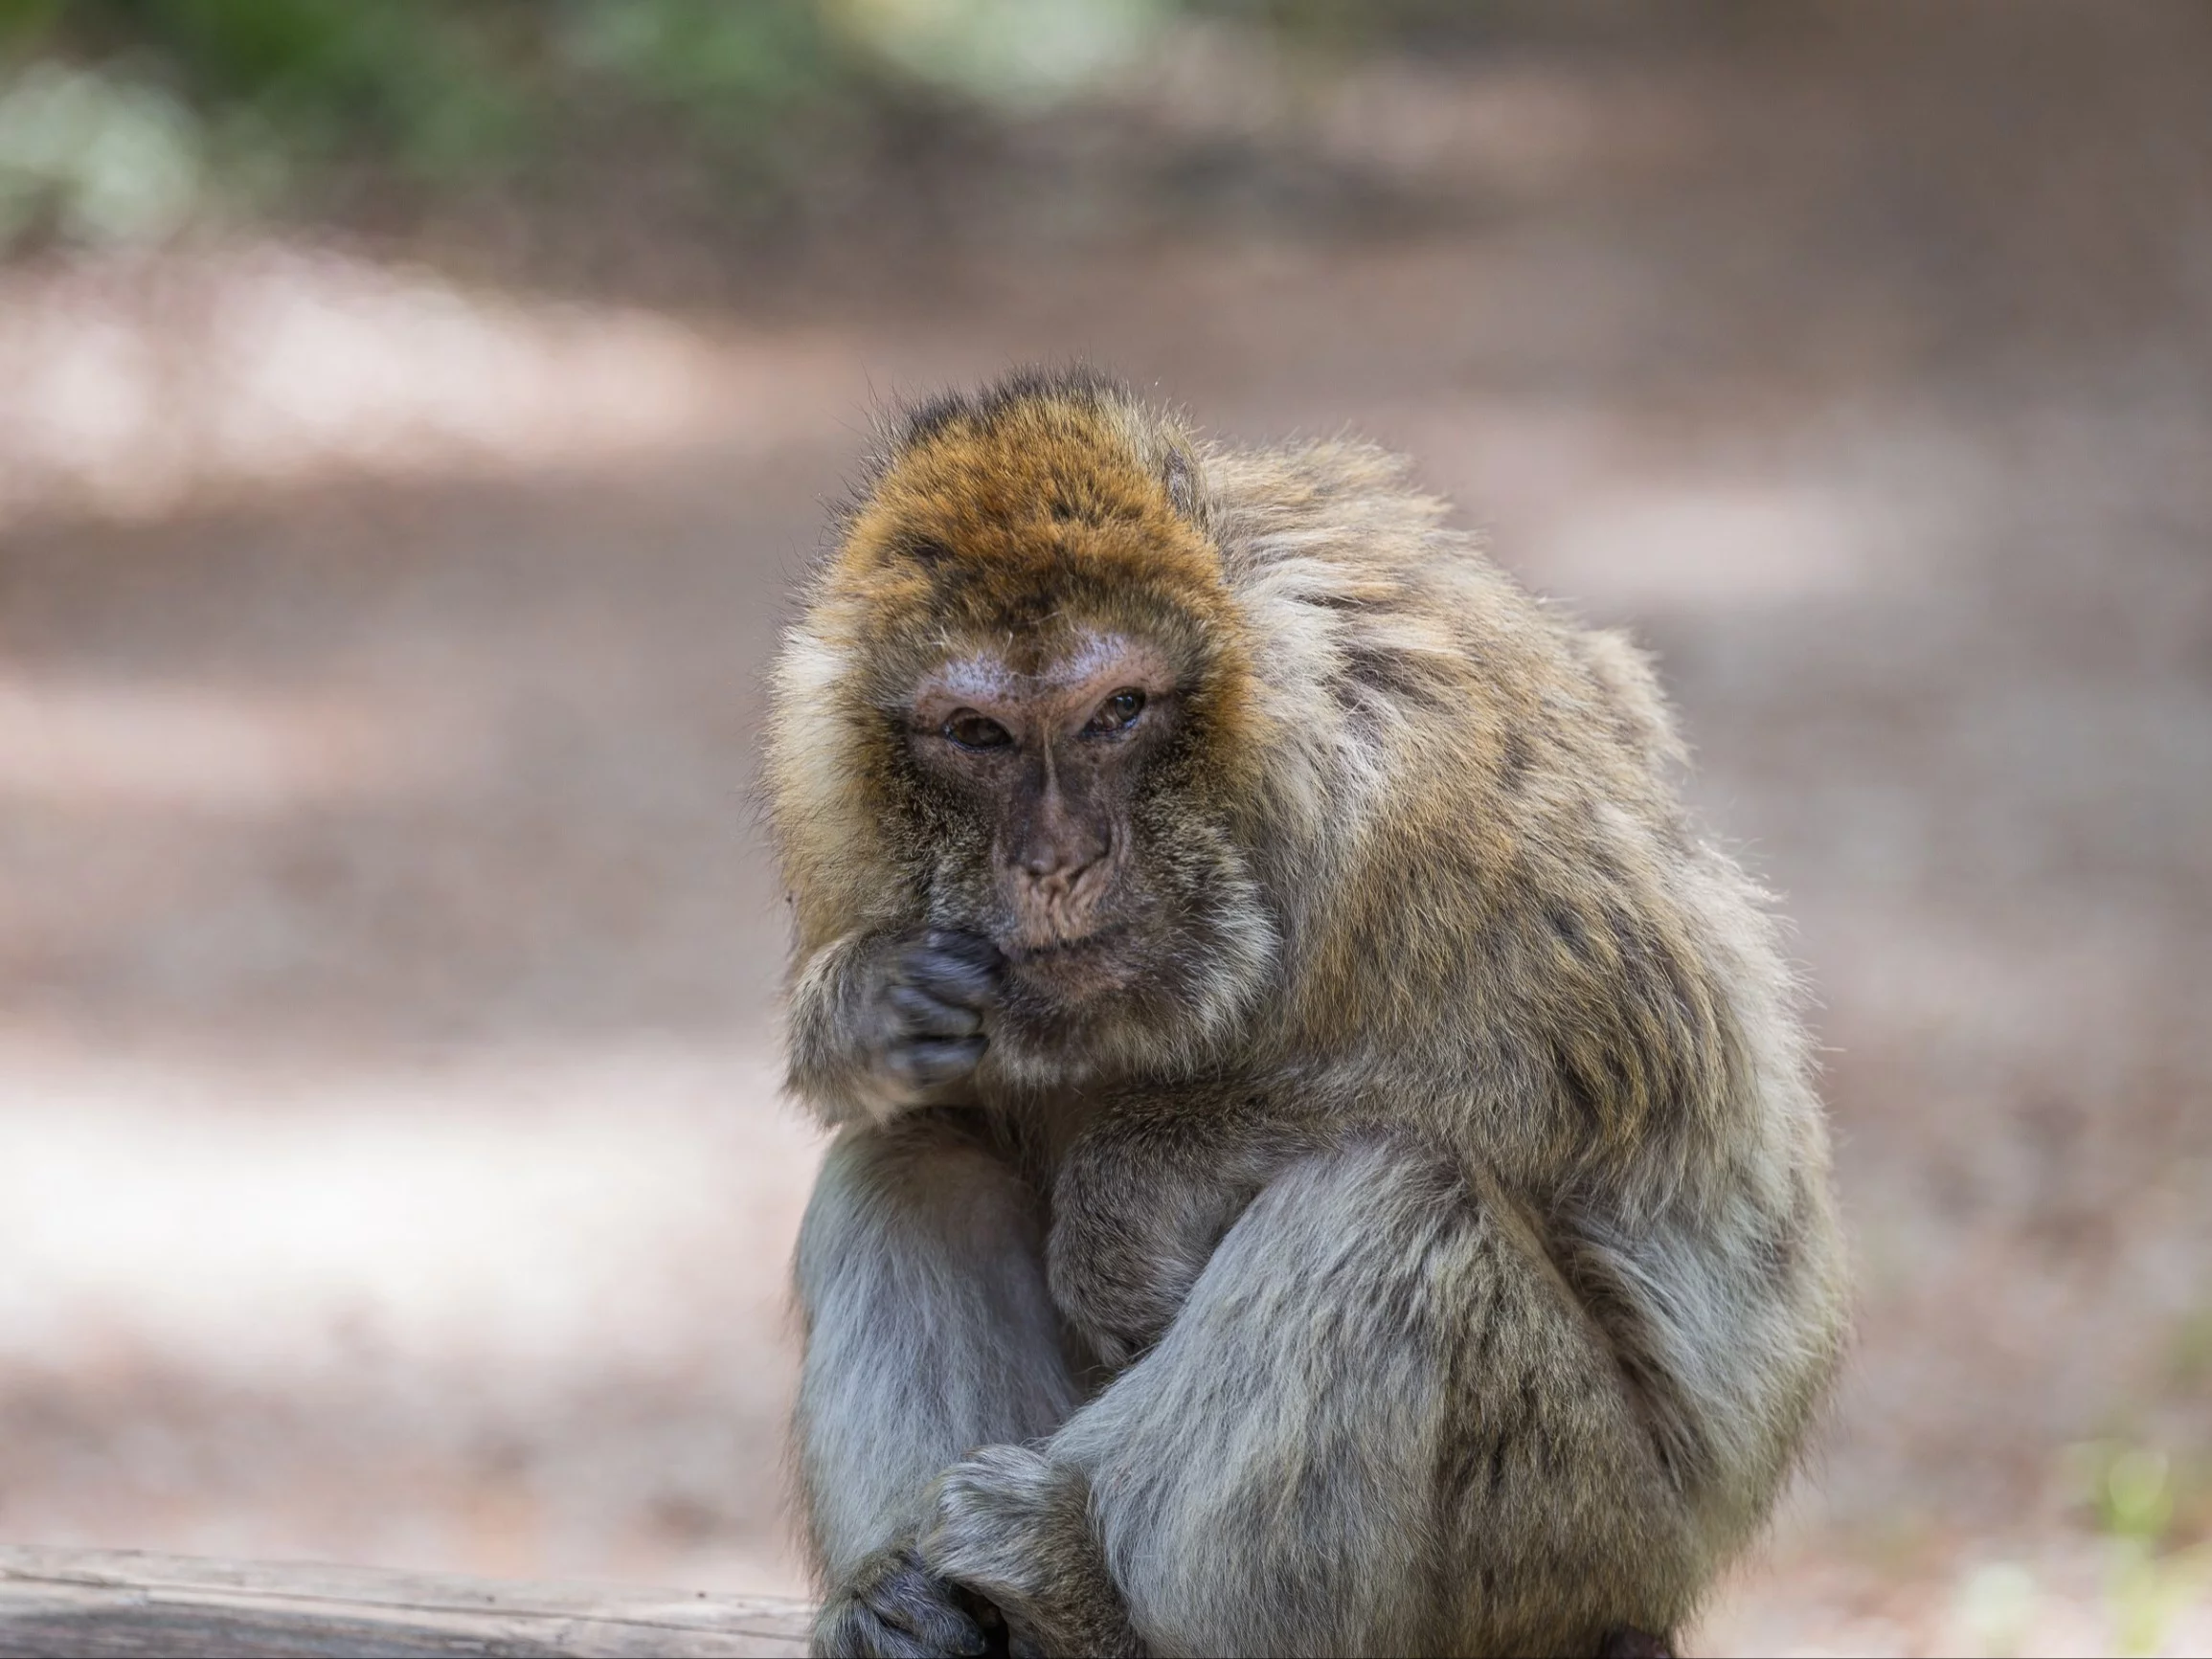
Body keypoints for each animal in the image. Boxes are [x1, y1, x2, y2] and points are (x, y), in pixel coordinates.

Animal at [765, 369, 1849, 1654]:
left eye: (1117, 710)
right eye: (977, 733)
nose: (1058, 857)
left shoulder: (1414, 784)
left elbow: (1608, 1062)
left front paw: (1128, 1202)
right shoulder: (835, 822)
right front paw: (862, 1005)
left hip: (1576, 1534)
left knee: (1391, 1201)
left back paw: (1091, 1598)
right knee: (914, 1158)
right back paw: (916, 1604)